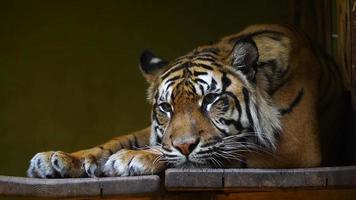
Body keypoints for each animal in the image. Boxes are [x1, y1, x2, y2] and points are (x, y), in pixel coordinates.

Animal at [28, 24, 348, 177]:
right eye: (166, 108)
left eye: (211, 100)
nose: (184, 145)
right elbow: (116, 141)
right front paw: (57, 159)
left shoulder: (296, 146)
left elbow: (226, 152)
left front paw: (133, 158)